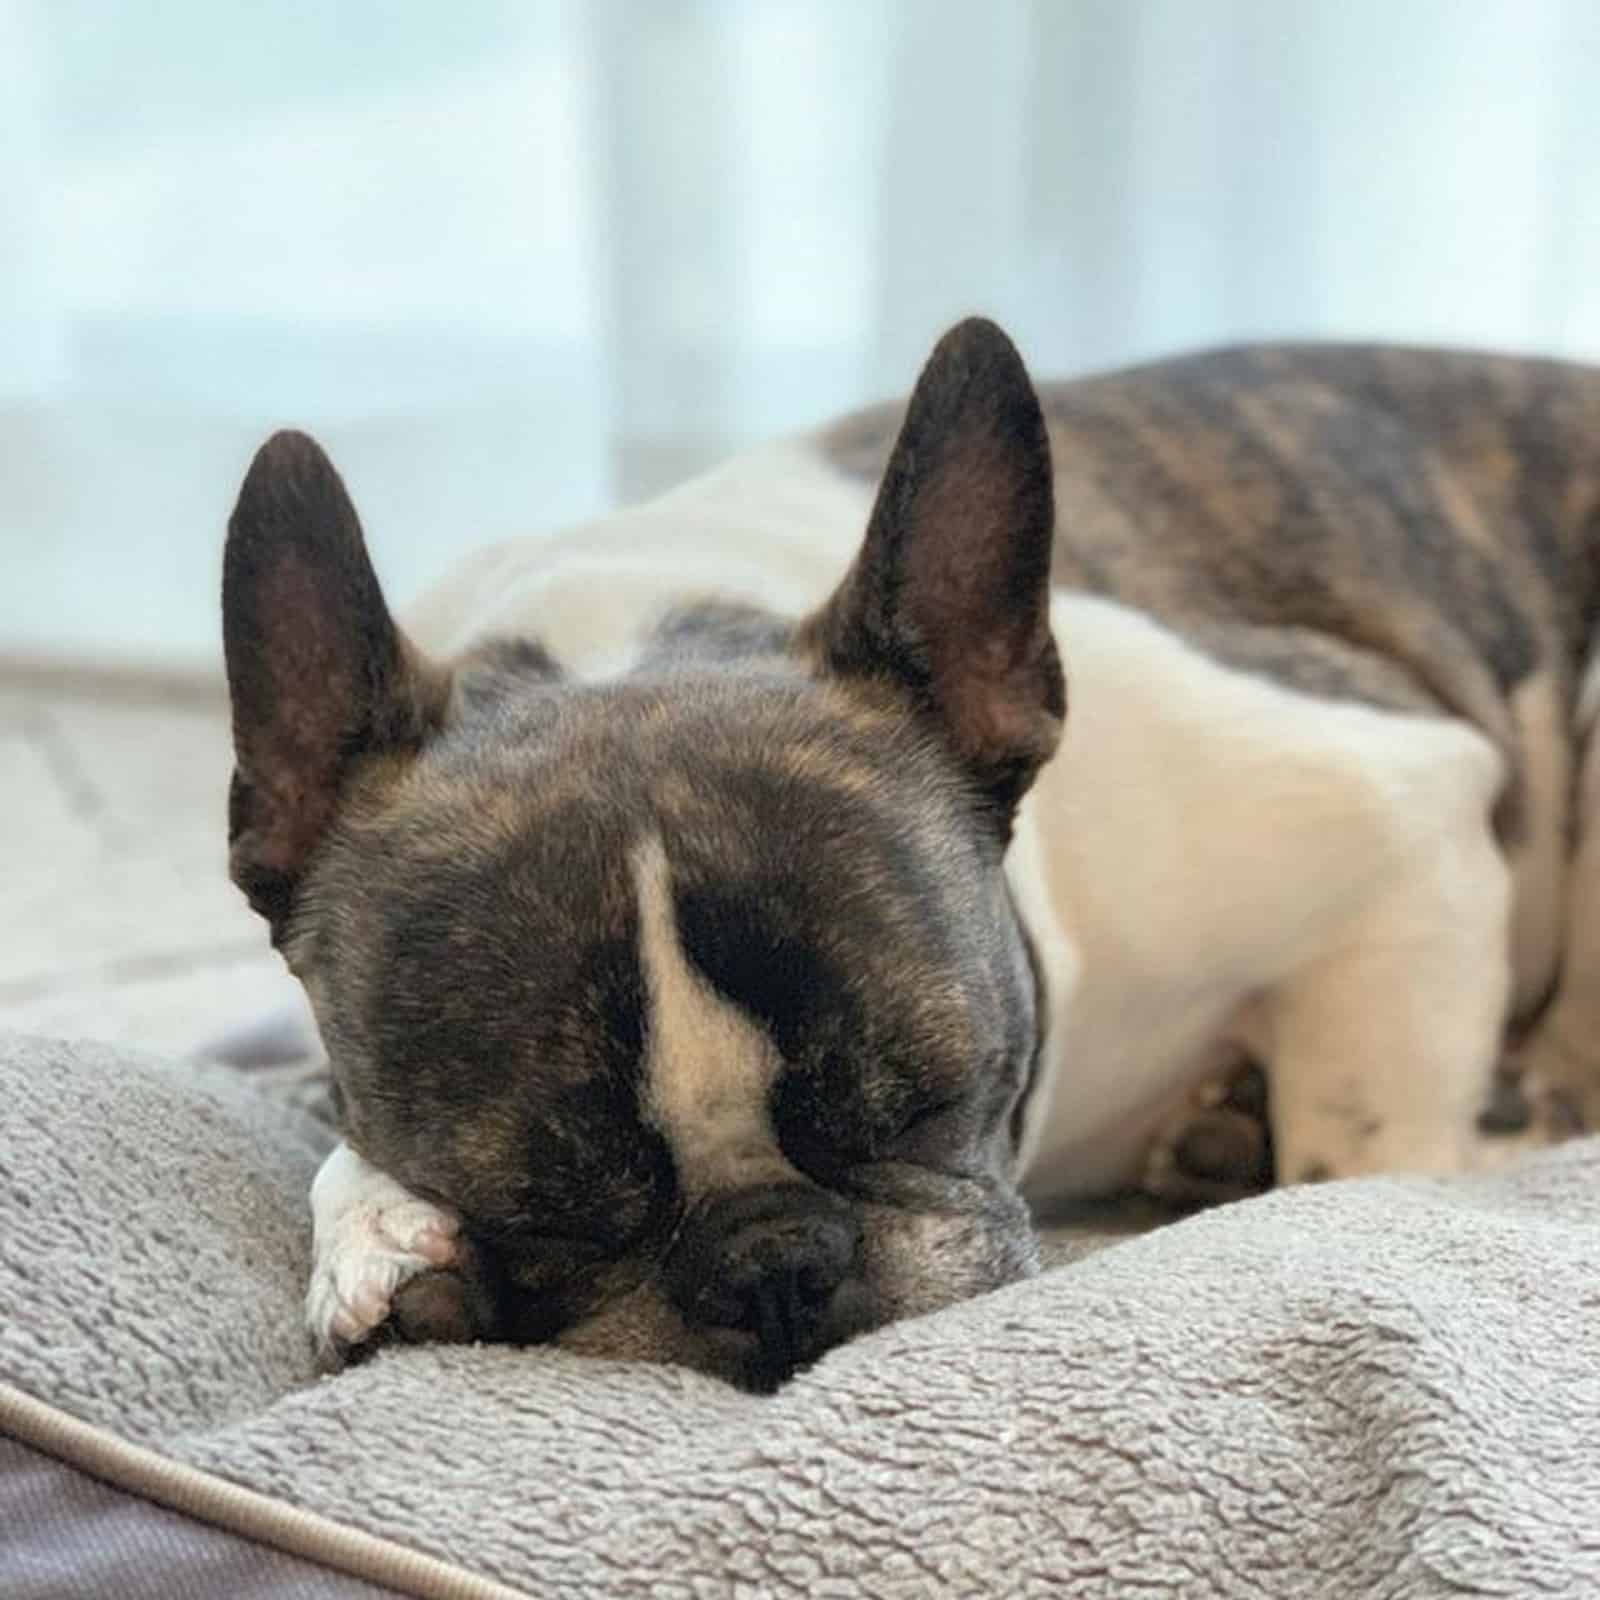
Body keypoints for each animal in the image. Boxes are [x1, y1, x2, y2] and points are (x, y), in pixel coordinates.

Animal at [222, 321, 1600, 1388]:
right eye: (538, 1207)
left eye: (930, 1102)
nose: (775, 1264)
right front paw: (381, 1234)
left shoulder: (1396, 823)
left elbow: (1364, 1155)